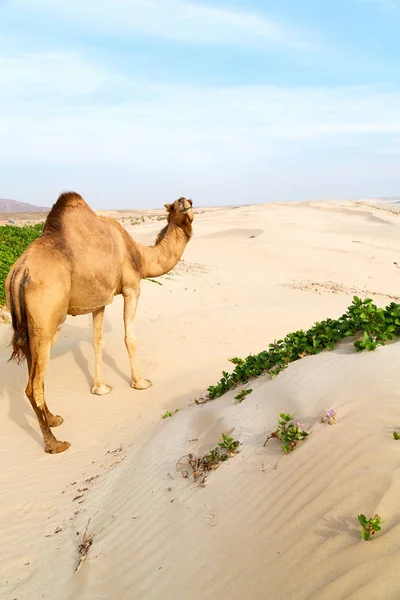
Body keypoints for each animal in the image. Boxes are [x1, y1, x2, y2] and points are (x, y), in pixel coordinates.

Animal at [6, 192, 194, 454]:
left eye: (188, 201)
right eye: (176, 204)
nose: (186, 201)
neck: (140, 256)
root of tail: (20, 272)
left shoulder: (99, 301)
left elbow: (97, 341)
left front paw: (100, 388)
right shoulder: (131, 287)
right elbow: (129, 337)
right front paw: (141, 382)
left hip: (28, 328)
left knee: (33, 379)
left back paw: (54, 419)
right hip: (47, 323)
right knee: (34, 384)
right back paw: (55, 443)